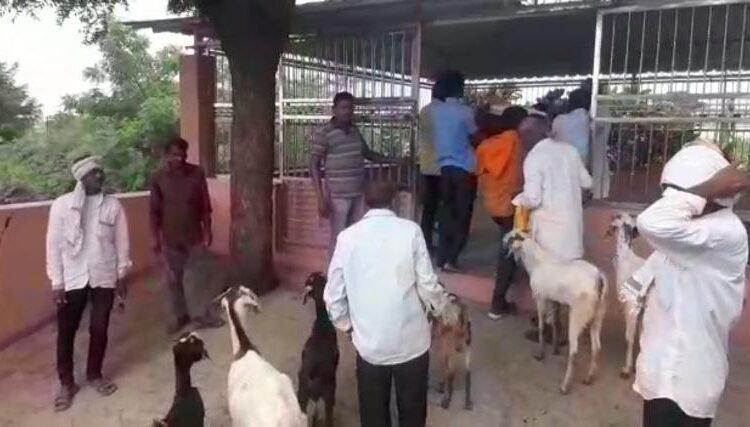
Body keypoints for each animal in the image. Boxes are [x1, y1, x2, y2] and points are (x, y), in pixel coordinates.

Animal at [504, 230, 608, 394]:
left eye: (512, 237)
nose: (503, 240)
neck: (537, 262)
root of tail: (598, 279)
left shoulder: (540, 298)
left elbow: (542, 326)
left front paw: (540, 354)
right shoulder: (554, 301)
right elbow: (555, 323)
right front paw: (555, 348)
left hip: (578, 315)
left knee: (574, 351)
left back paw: (565, 385)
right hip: (598, 315)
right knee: (596, 346)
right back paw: (589, 377)